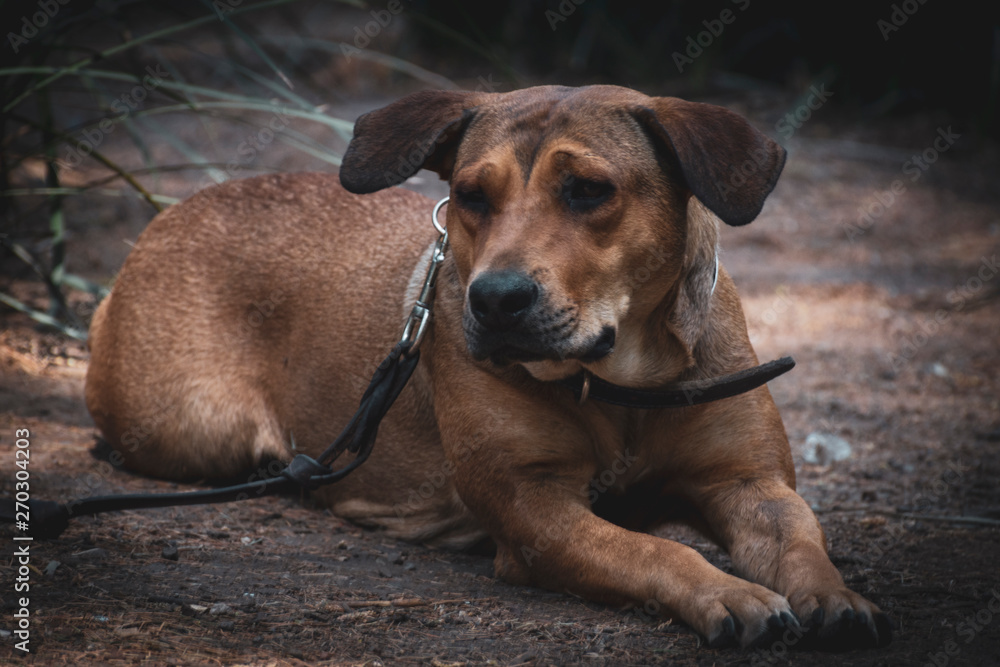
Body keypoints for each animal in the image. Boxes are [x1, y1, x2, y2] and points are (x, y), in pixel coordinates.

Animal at [88, 86, 892, 648]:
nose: (497, 298)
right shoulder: (536, 509)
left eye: (589, 190)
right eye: (470, 195)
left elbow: (801, 539)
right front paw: (727, 591)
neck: (622, 383)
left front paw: (835, 595)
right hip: (195, 429)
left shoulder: (748, 482)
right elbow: (652, 549)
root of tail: (172, 212)